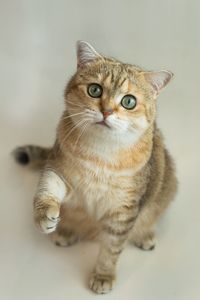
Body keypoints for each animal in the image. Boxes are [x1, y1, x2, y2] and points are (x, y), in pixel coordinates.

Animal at [13, 41, 177, 294]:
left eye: (129, 101)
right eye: (95, 90)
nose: (106, 111)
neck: (102, 155)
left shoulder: (124, 210)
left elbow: (111, 249)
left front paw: (103, 276)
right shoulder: (59, 170)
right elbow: (47, 190)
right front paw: (44, 216)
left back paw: (145, 236)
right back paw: (66, 232)